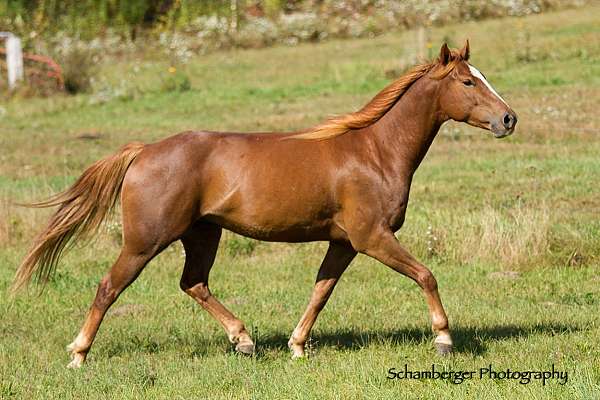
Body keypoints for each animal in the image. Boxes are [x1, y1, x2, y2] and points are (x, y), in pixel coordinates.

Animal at [12, 42, 516, 368]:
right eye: (468, 81)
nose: (509, 119)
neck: (374, 150)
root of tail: (144, 150)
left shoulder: (344, 242)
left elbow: (321, 291)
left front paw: (297, 345)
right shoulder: (372, 237)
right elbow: (426, 275)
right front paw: (444, 339)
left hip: (203, 233)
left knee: (193, 283)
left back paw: (244, 341)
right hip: (145, 241)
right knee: (108, 287)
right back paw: (78, 355)